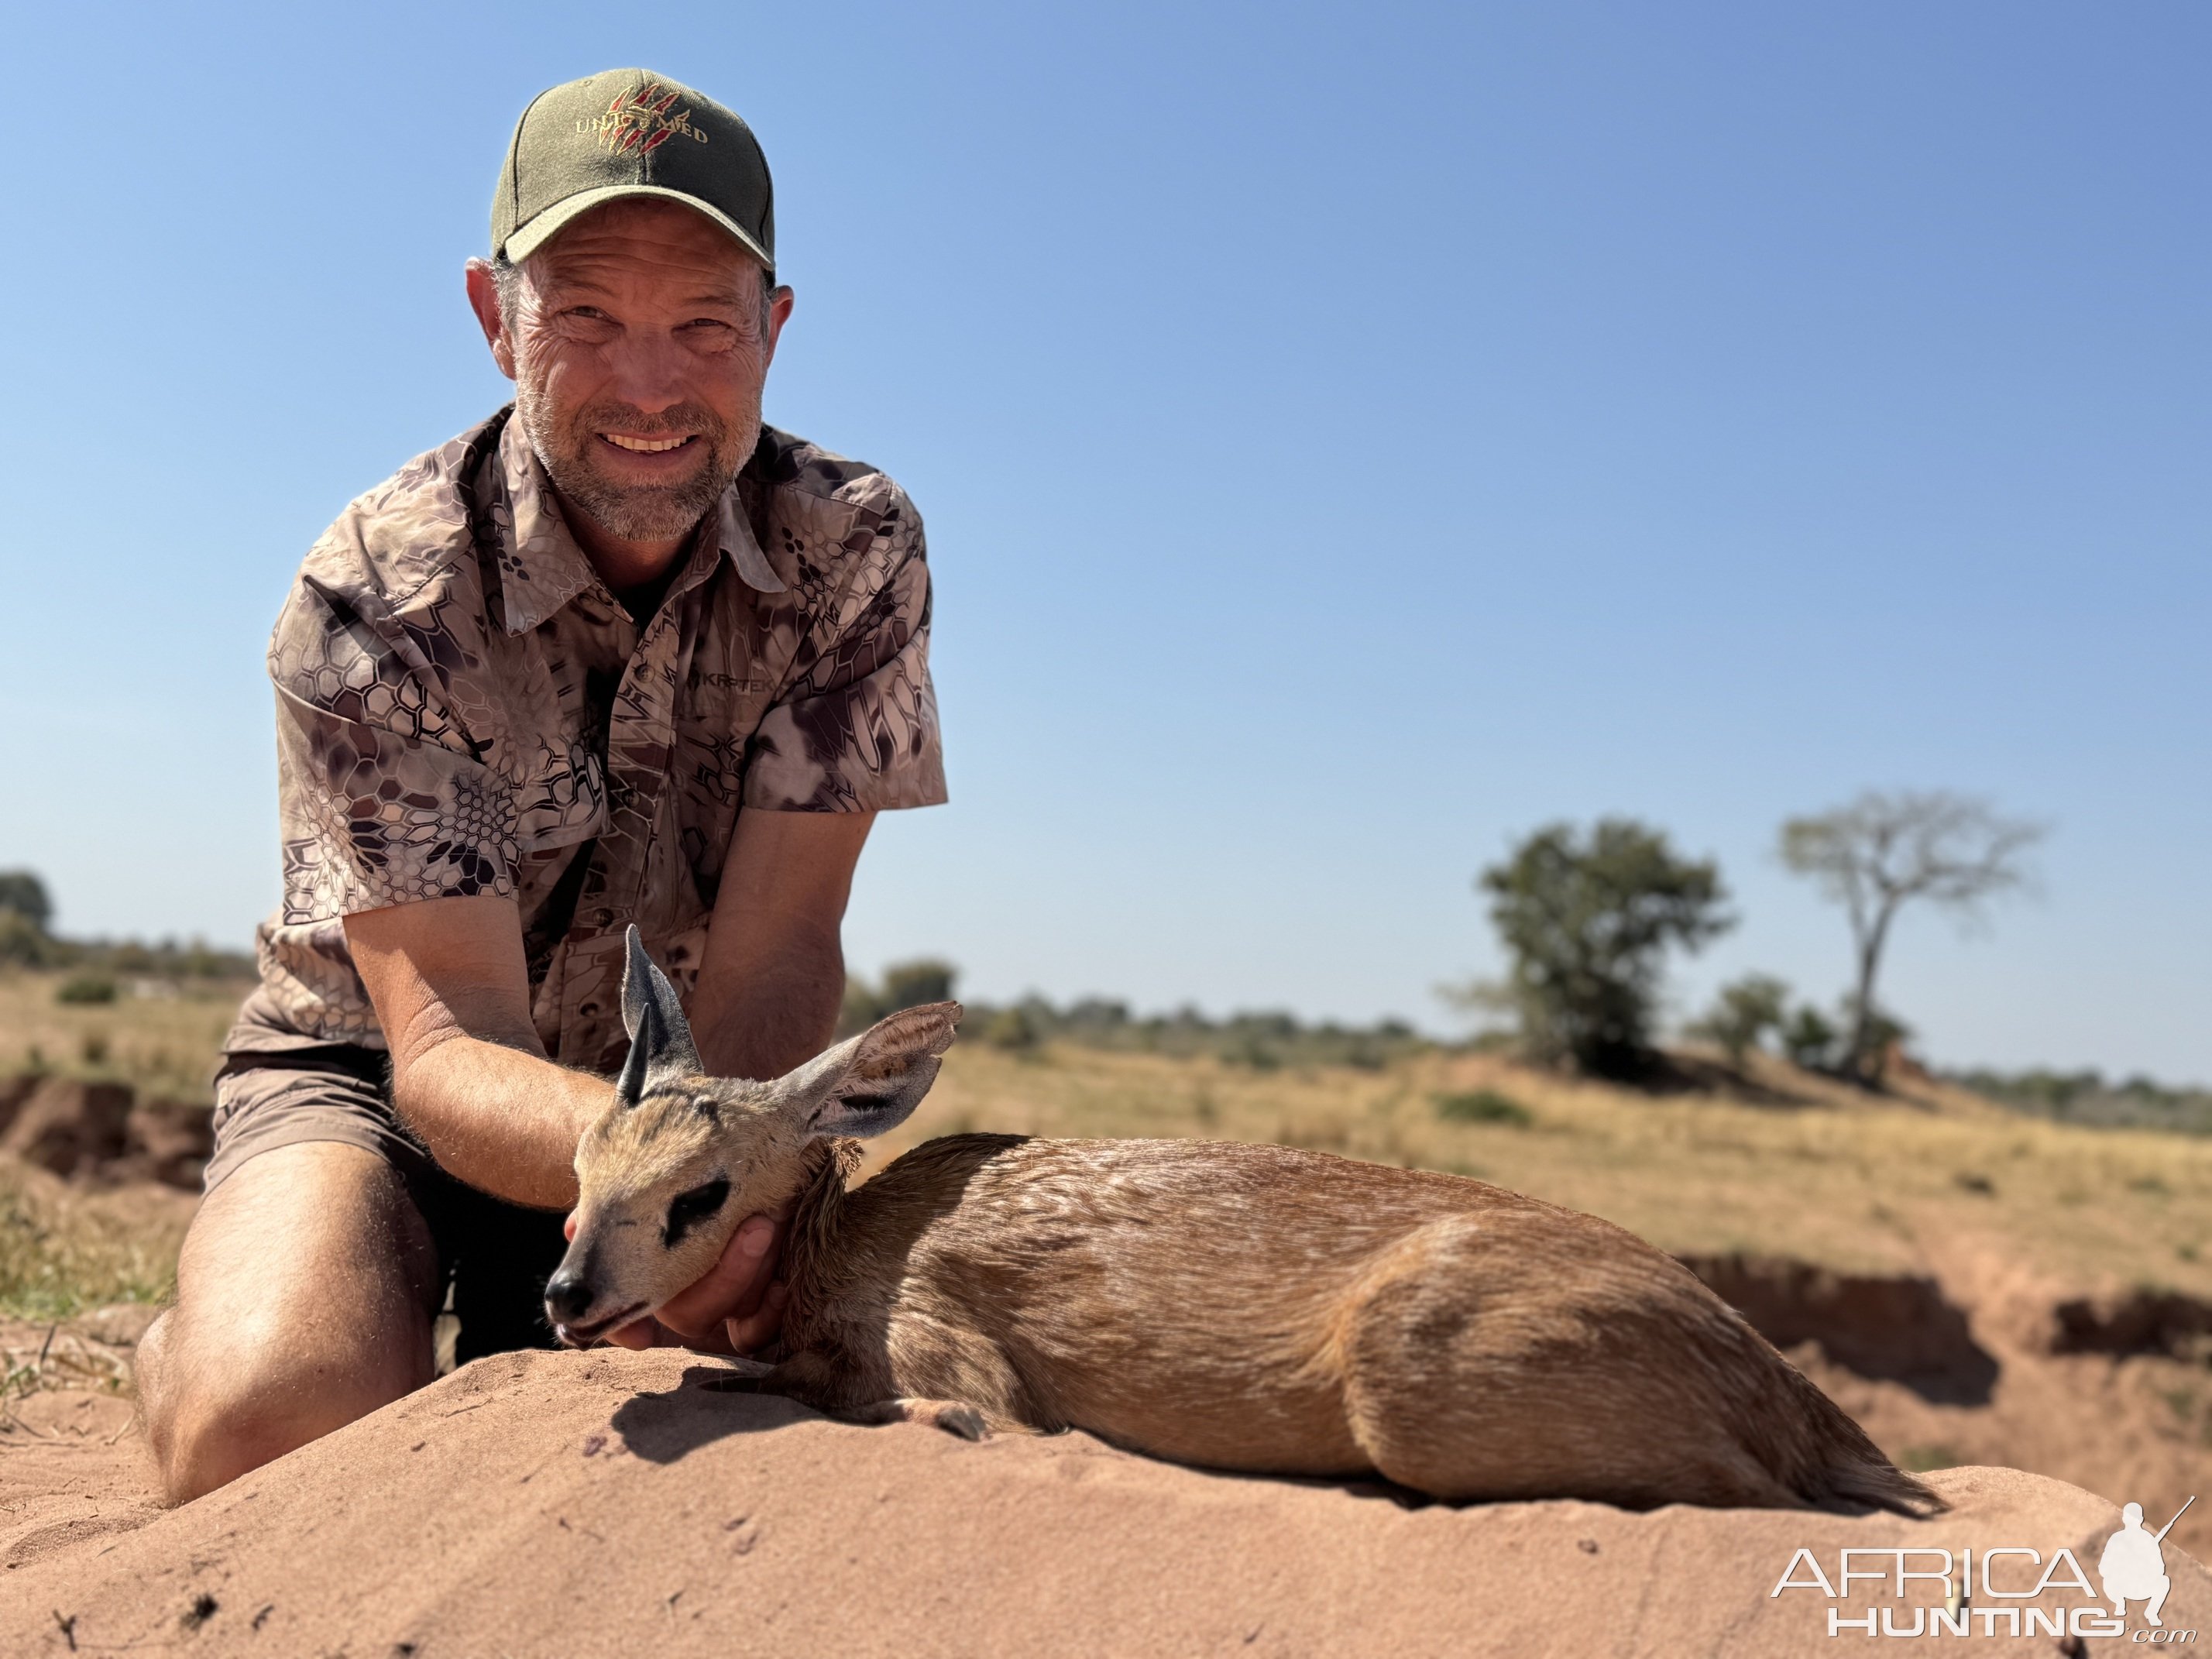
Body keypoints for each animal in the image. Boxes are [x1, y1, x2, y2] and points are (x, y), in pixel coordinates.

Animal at [548, 937, 1937, 1521]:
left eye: (701, 1190)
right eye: (580, 1164)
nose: (565, 1294)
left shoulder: (954, 1377)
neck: (849, 1245)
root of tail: (1794, 1392)